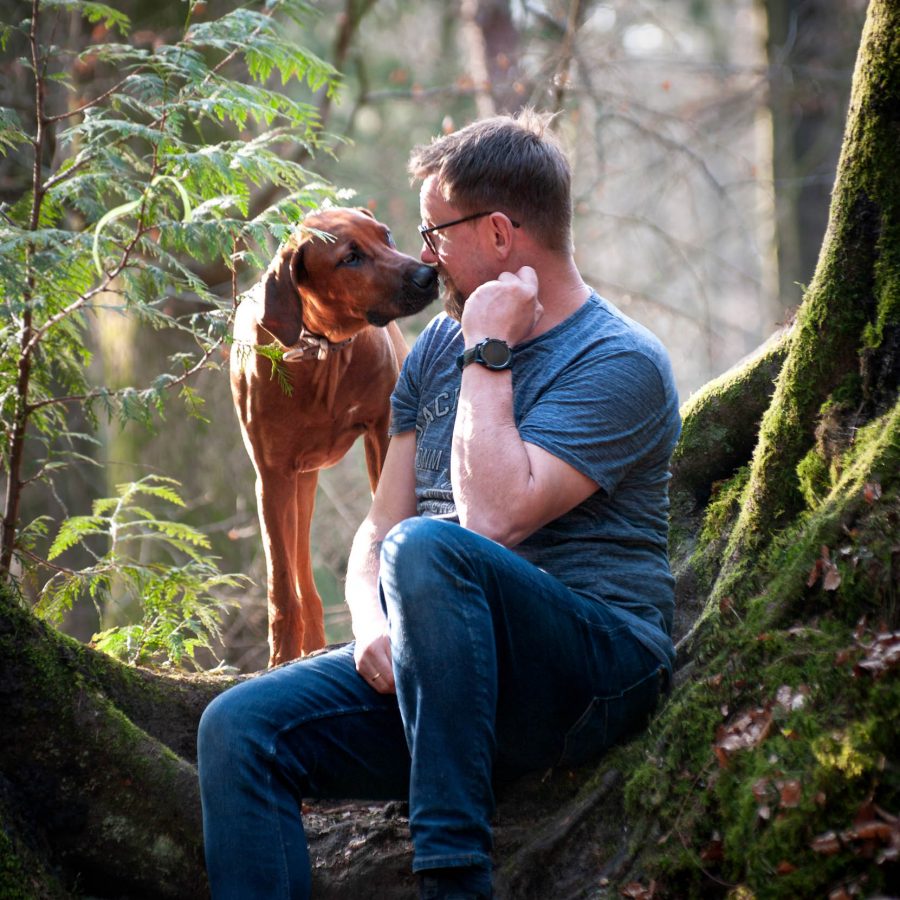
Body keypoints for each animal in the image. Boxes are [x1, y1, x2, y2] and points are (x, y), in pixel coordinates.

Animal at [230, 207, 438, 664]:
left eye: (386, 236)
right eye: (350, 259)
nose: (426, 275)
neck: (322, 353)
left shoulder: (382, 435)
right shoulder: (271, 474)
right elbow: (280, 584)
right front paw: (281, 659)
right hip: (295, 483)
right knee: (299, 577)